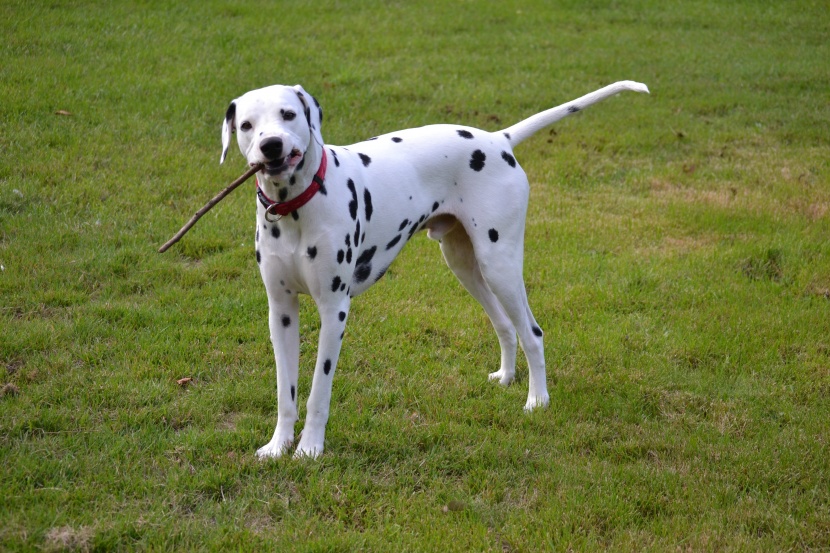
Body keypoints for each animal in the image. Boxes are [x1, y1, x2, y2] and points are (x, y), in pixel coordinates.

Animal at [221, 78, 648, 458]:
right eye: (247, 125)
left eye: (288, 114)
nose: (271, 144)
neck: (297, 206)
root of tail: (498, 140)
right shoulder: (281, 312)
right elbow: (286, 391)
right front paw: (278, 446)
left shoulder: (334, 311)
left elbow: (317, 392)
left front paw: (310, 449)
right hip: (465, 266)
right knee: (505, 325)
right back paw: (507, 377)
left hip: (500, 265)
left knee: (532, 332)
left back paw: (537, 400)